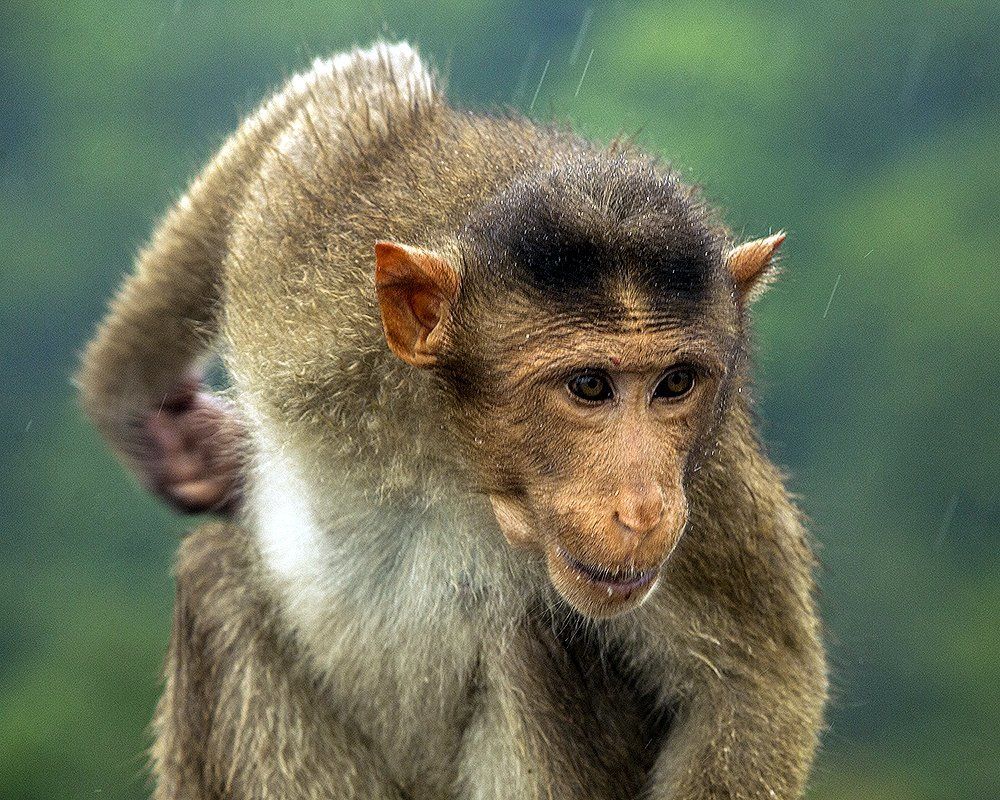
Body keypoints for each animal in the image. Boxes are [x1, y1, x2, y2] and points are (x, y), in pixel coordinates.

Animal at [78, 41, 827, 800]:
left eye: (674, 384)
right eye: (589, 386)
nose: (644, 509)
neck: (449, 452)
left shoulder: (706, 481)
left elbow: (752, 684)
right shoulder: (307, 271)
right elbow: (355, 93)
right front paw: (139, 410)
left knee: (524, 635)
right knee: (217, 576)